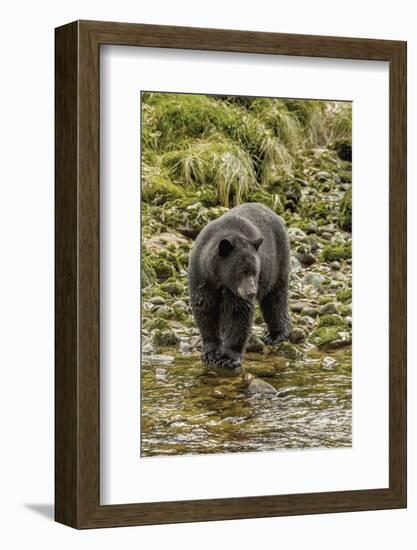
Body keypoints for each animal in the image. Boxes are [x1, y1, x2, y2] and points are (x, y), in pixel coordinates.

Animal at [188, 203, 290, 370]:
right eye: (242, 271)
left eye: (255, 271)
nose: (252, 293)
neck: (220, 279)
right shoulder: (202, 277)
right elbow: (205, 308)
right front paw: (210, 352)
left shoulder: (236, 291)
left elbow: (238, 313)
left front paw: (229, 358)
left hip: (277, 263)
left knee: (275, 298)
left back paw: (276, 335)